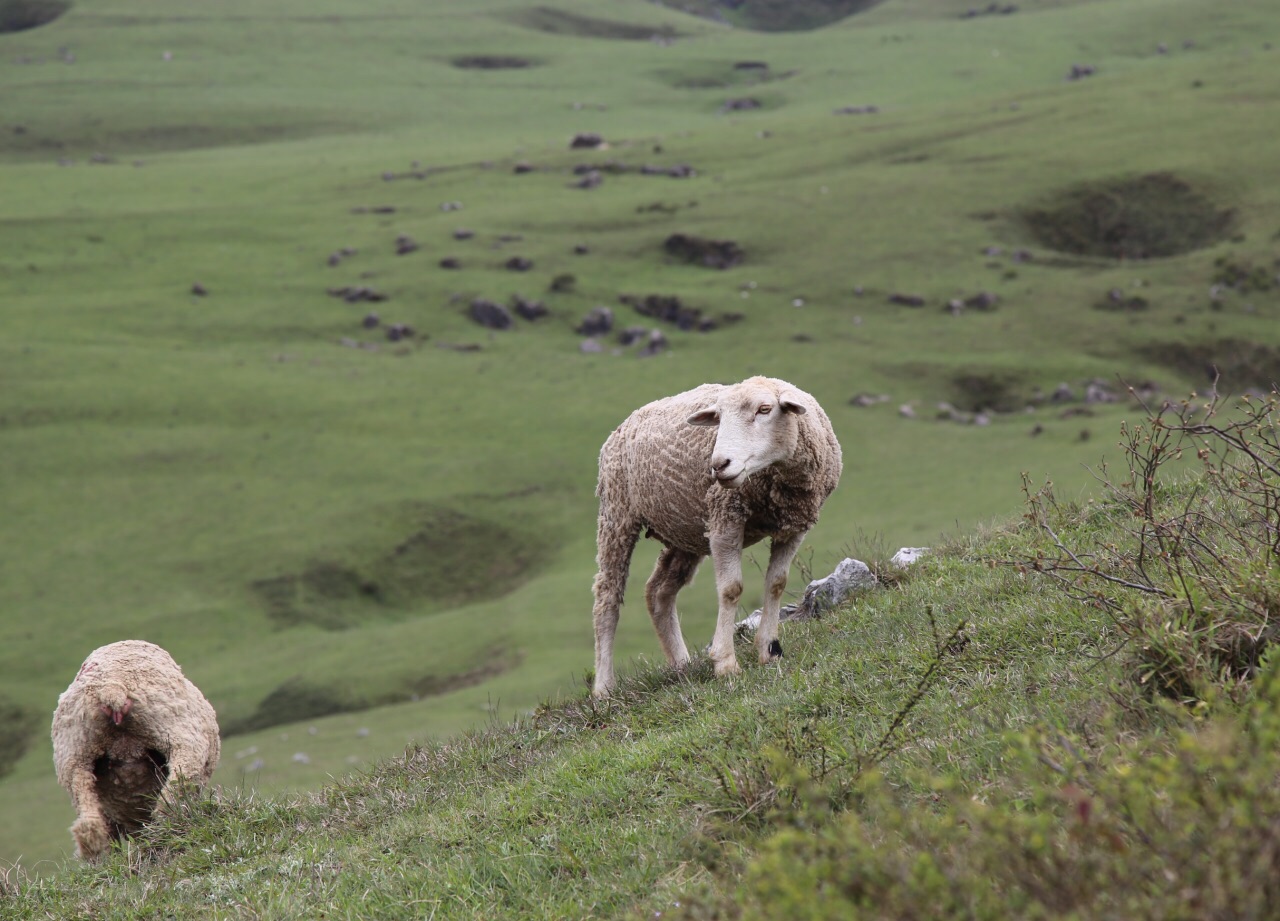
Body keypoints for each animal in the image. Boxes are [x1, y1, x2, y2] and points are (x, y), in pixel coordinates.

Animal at [51, 639, 222, 864]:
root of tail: (113, 687)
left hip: (75, 759)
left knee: (90, 827)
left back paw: (102, 858)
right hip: (179, 737)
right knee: (172, 793)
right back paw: (167, 828)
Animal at [588, 378, 839, 695]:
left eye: (765, 409)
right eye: (718, 417)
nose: (719, 464)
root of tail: (622, 425)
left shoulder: (794, 526)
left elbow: (776, 584)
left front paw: (768, 649)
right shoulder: (725, 519)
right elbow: (731, 589)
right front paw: (725, 663)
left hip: (684, 529)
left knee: (659, 591)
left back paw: (681, 664)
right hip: (617, 514)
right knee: (607, 597)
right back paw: (604, 687)